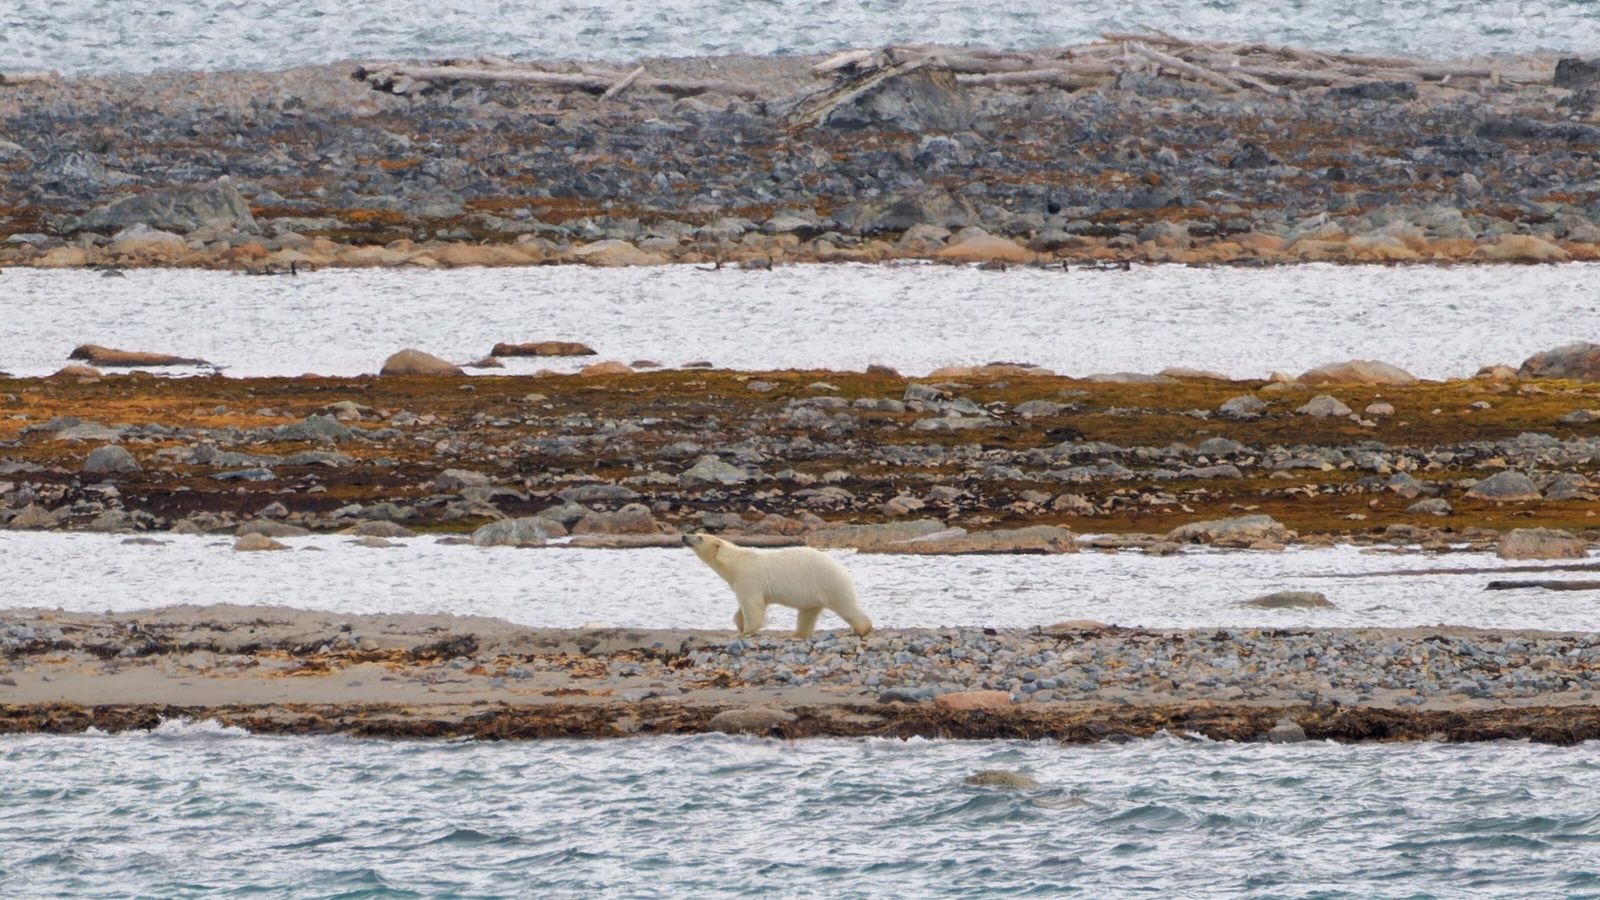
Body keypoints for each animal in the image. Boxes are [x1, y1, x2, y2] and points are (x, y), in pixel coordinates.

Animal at [683, 533, 873, 637]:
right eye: (697, 532)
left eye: (699, 537)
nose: (684, 536)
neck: (736, 563)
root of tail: (842, 568)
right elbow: (745, 608)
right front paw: (739, 624)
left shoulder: (748, 578)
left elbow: (752, 605)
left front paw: (745, 631)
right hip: (815, 593)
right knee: (807, 613)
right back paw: (796, 634)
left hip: (828, 582)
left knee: (845, 605)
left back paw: (861, 629)